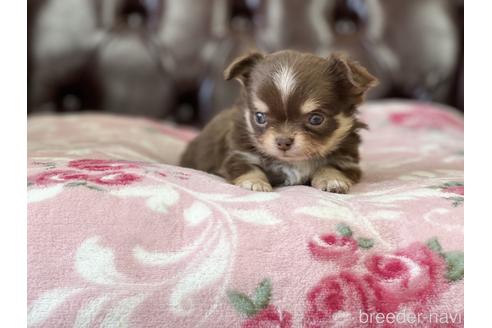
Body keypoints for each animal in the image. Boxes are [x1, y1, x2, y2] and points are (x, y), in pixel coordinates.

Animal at [181, 50, 376, 193]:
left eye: (316, 119)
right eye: (259, 117)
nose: (283, 141)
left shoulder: (347, 160)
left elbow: (332, 166)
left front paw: (331, 179)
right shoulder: (238, 155)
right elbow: (249, 168)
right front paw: (255, 183)